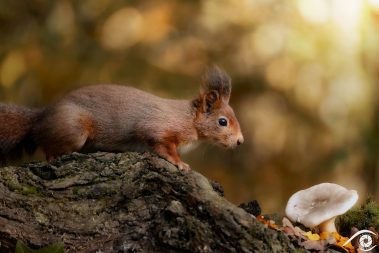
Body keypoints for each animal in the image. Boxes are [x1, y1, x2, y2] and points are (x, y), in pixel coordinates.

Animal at [0, 66, 243, 171]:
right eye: (222, 121)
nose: (240, 141)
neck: (189, 119)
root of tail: (41, 118)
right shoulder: (158, 127)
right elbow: (161, 144)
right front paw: (179, 163)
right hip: (74, 129)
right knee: (50, 149)